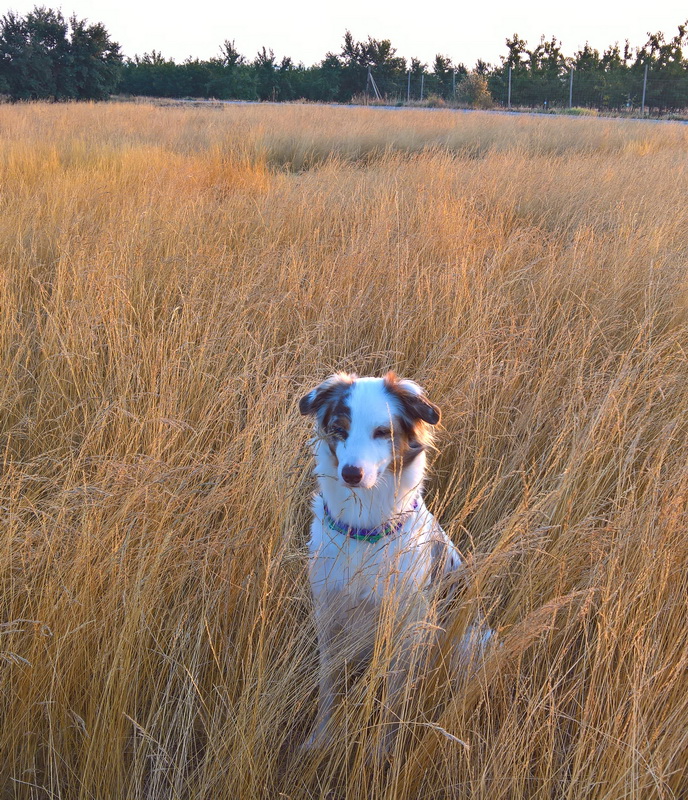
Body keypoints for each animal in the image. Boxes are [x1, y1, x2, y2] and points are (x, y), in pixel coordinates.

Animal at [300, 371, 484, 749]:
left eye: (383, 432)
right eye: (340, 429)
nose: (351, 473)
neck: (364, 531)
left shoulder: (405, 629)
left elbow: (393, 702)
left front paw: (381, 751)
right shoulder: (328, 616)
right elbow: (328, 687)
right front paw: (320, 738)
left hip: (469, 644)